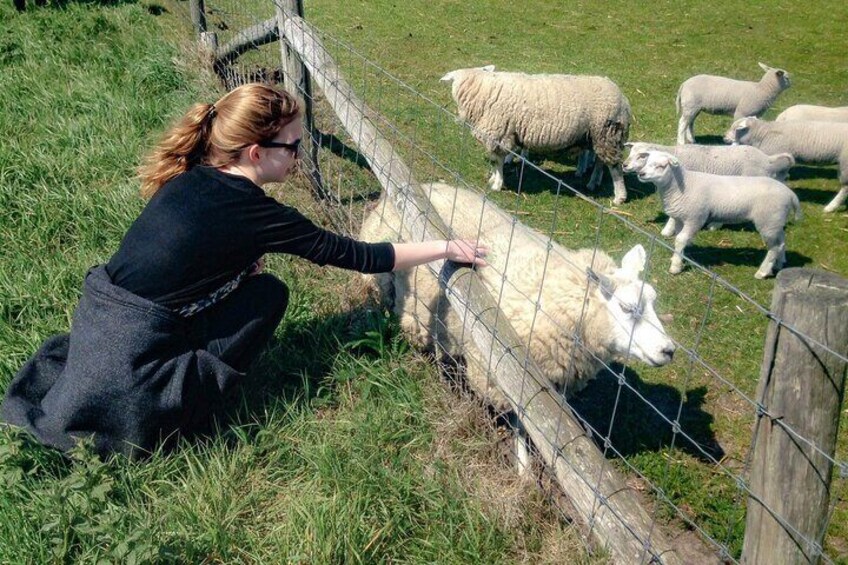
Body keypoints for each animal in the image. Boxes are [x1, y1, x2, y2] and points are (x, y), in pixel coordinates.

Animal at [440, 65, 632, 205]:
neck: (484, 89)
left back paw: (619, 197)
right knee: (601, 162)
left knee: (615, 167)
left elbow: (497, 161)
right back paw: (593, 183)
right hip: (599, 136)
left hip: (608, 132)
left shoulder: (500, 134)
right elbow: (496, 161)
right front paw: (494, 179)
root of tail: (623, 99)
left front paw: (497, 184)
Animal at [636, 151, 800, 278]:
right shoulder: (680, 218)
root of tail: (790, 194)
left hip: (767, 221)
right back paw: (779, 263)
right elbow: (678, 238)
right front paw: (677, 257)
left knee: (774, 248)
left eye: (661, 166)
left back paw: (763, 272)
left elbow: (681, 240)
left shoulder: (695, 218)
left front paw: (675, 267)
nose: (641, 174)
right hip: (775, 221)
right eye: (646, 162)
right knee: (781, 241)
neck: (683, 185)